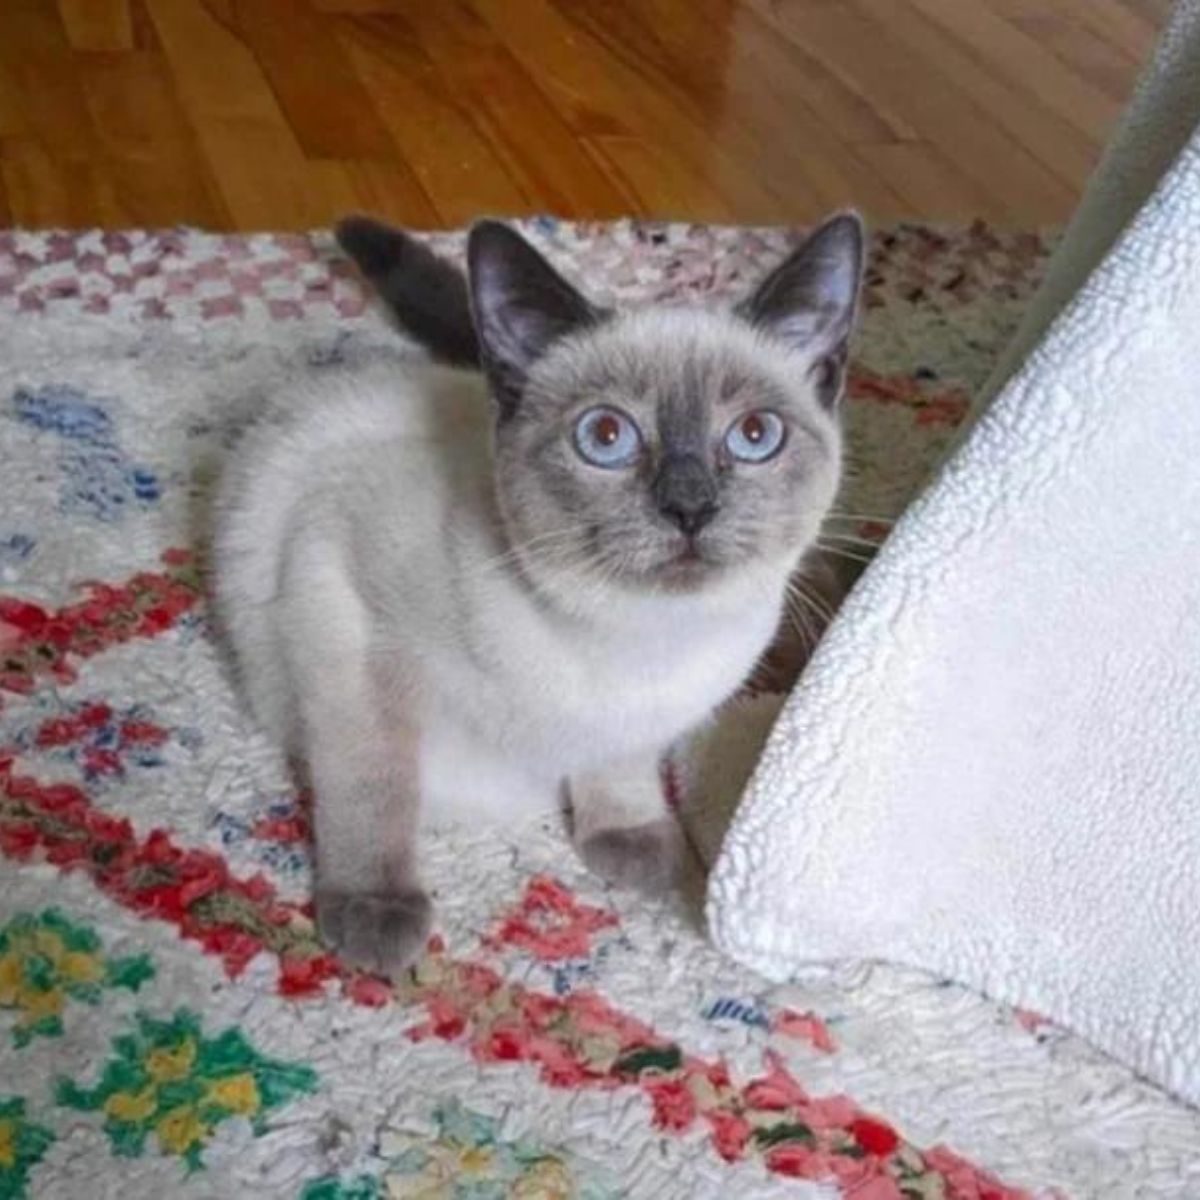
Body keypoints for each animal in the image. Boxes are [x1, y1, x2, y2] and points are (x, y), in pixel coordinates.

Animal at [213, 213, 864, 974]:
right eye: (606, 436)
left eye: (756, 435)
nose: (690, 508)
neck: (642, 642)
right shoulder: (341, 604)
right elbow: (373, 783)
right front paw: (377, 914)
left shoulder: (641, 726)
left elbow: (621, 769)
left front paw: (634, 842)